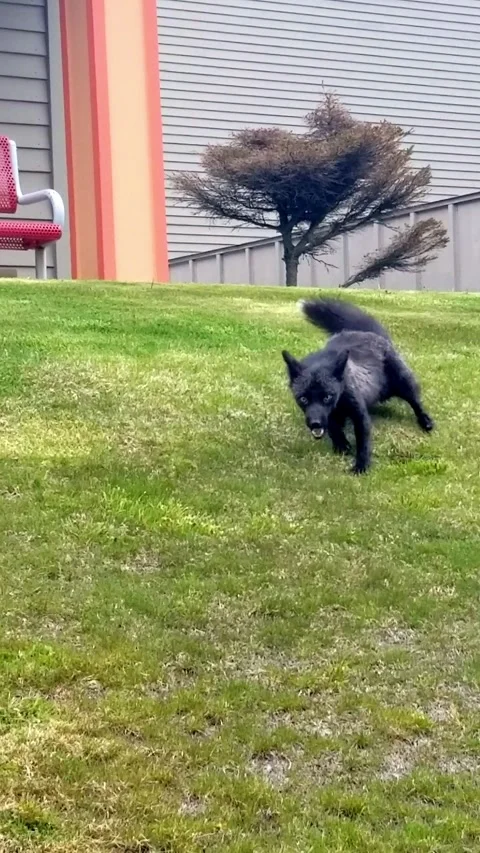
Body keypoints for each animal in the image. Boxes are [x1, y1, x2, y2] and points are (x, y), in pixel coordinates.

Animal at [282, 298, 434, 474]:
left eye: (327, 397)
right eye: (303, 399)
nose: (315, 424)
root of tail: (368, 332)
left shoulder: (359, 414)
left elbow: (363, 442)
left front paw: (361, 465)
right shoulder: (330, 415)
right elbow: (334, 428)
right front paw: (341, 445)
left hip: (404, 384)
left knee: (416, 404)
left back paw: (425, 421)